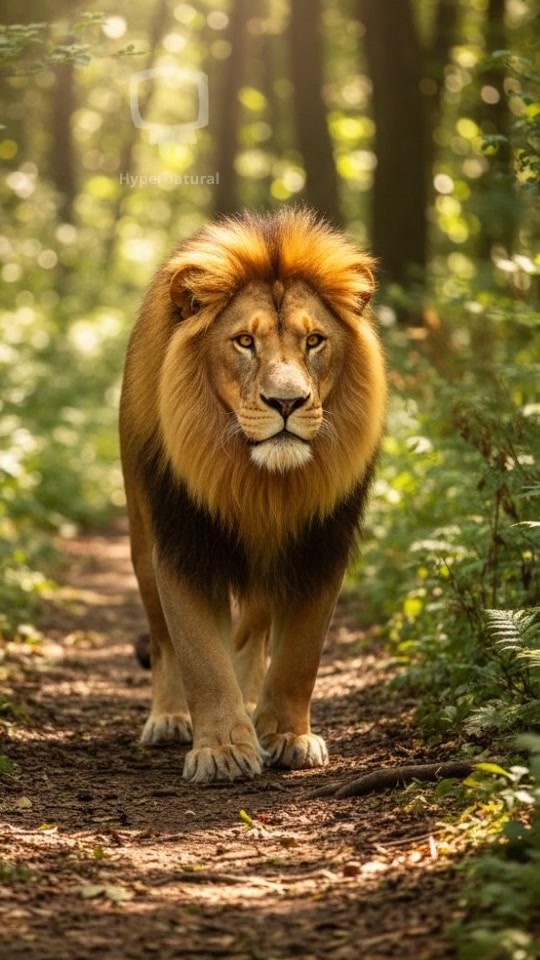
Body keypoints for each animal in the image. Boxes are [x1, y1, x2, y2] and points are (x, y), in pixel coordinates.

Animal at [119, 207, 386, 783]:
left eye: (314, 341)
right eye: (244, 341)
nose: (287, 402)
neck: (259, 482)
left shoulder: (320, 546)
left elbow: (299, 658)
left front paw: (287, 736)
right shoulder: (183, 542)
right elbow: (199, 656)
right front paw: (221, 749)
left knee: (252, 632)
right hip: (140, 540)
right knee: (162, 641)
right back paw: (169, 718)